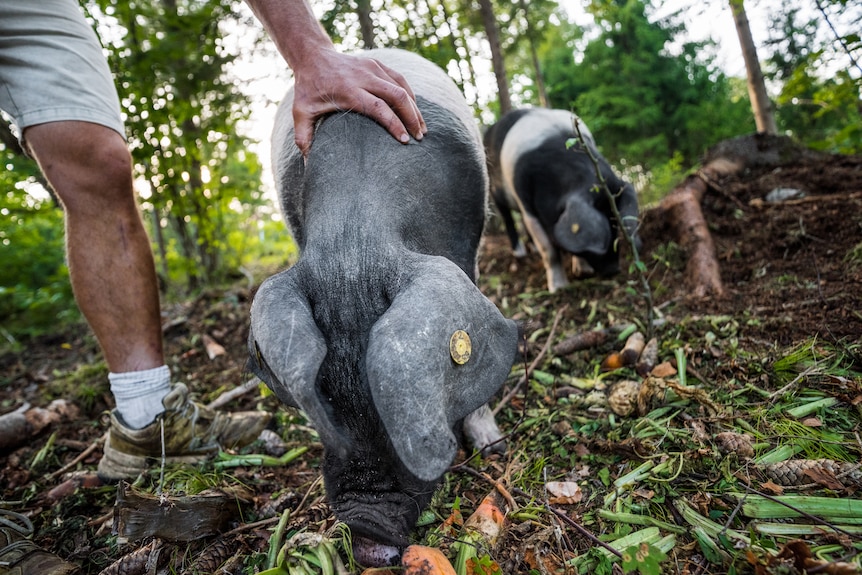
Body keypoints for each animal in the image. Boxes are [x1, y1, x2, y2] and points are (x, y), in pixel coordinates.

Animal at [486, 108, 640, 292]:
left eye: (616, 225)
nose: (614, 270)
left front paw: (584, 273)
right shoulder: (528, 206)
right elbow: (549, 250)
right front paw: (558, 288)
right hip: (495, 191)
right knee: (508, 218)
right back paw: (520, 253)